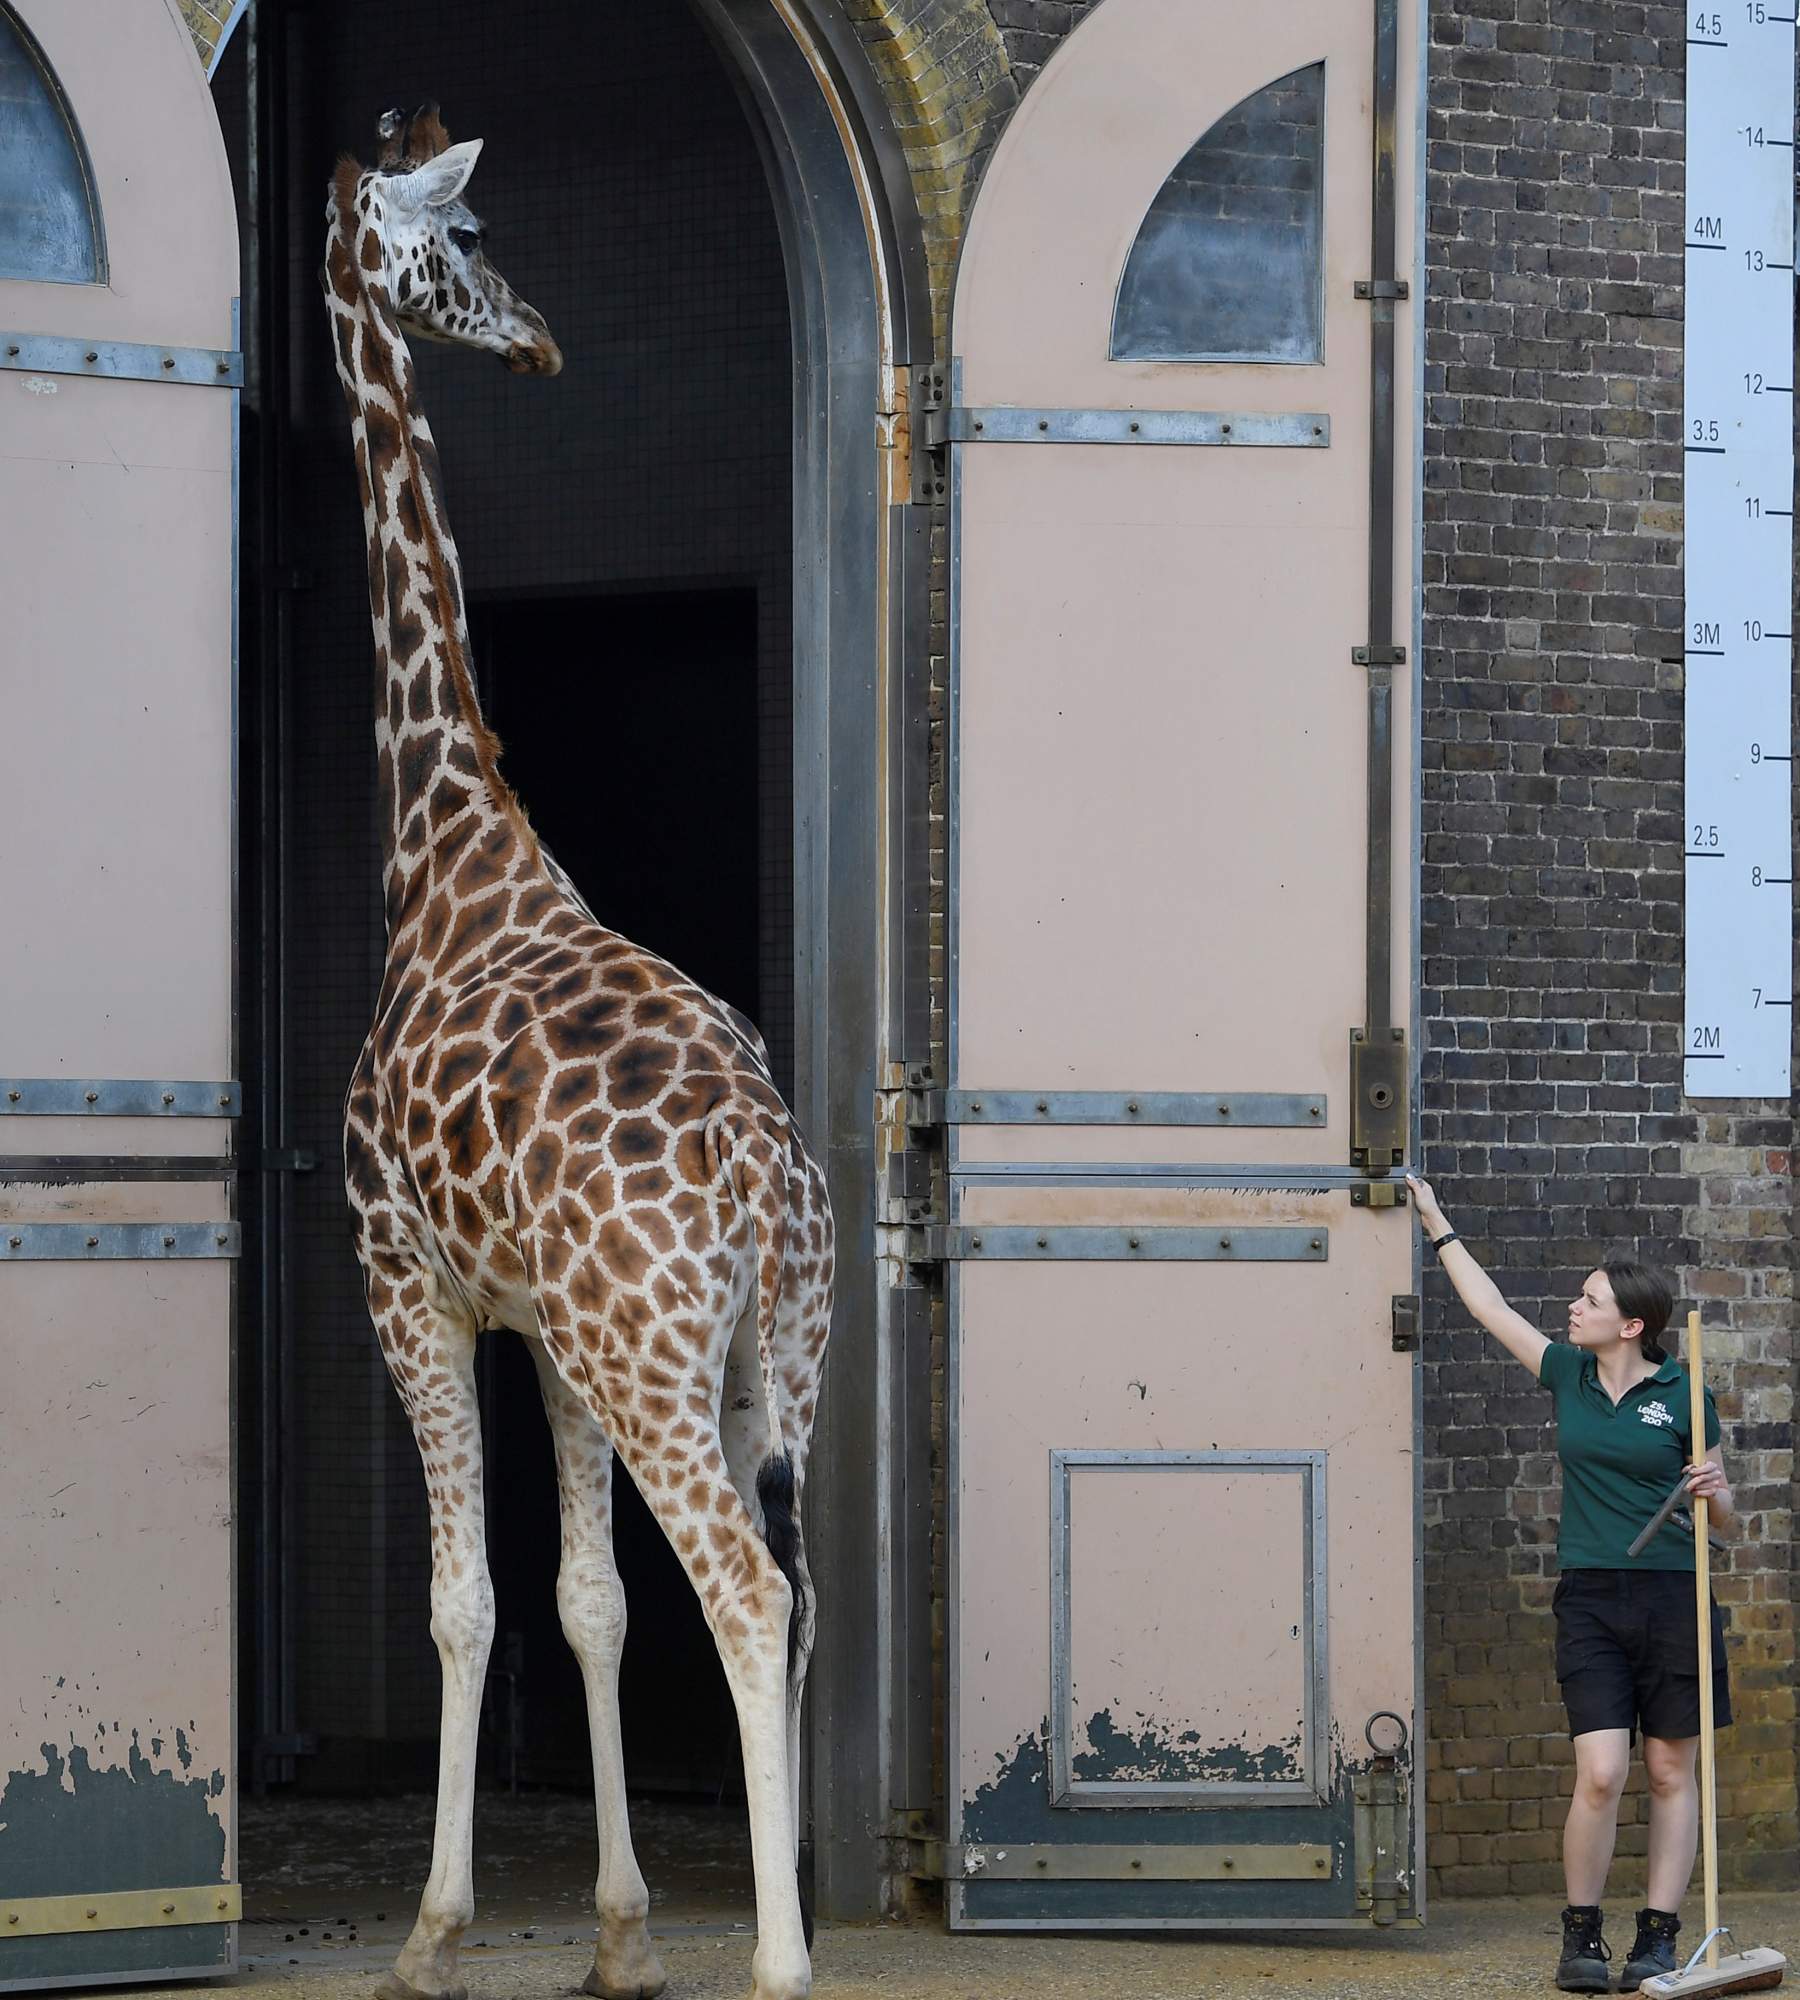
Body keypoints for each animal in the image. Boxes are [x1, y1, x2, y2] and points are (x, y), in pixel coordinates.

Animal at [322, 105, 836, 2000]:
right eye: (473, 241)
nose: (537, 335)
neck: (450, 844)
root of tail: (758, 1173)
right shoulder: (539, 1325)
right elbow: (586, 1603)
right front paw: (617, 1929)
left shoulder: (405, 1279)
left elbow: (469, 1598)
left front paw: (430, 1927)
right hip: (772, 1356)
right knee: (794, 1587)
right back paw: (770, 1914)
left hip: (656, 1357)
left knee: (746, 1589)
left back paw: (785, 1960)